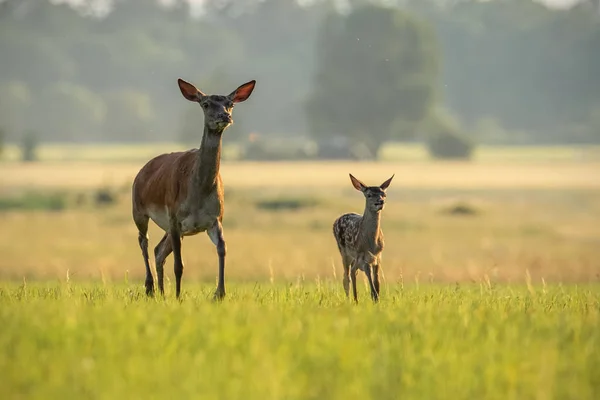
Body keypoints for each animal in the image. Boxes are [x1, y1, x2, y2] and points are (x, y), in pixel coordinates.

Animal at [131, 78, 255, 298]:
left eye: (230, 103)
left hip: (170, 228)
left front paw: (219, 294)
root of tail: (141, 171)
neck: (198, 193)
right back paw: (150, 287)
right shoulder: (174, 217)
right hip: (138, 209)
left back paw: (161, 292)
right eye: (205, 104)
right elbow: (179, 265)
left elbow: (222, 249)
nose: (225, 116)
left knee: (158, 250)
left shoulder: (215, 218)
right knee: (143, 240)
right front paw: (178, 297)